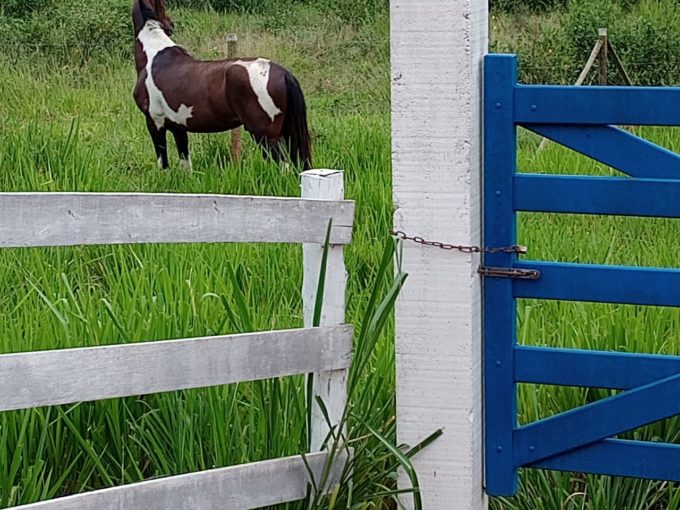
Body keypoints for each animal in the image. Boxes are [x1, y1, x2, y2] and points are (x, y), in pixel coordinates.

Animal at [131, 0, 312, 171]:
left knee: (283, 166)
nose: (171, 25)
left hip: (265, 137)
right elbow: (185, 165)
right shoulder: (178, 127)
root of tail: (284, 73)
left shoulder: (155, 123)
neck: (154, 56)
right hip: (284, 134)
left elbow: (163, 163)